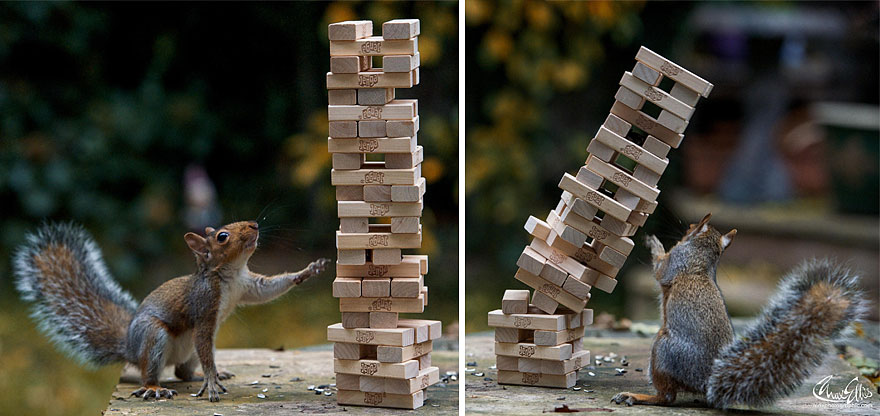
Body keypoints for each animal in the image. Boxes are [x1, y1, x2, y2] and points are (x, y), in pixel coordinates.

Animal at [13, 220, 330, 402]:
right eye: (222, 237)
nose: (254, 225)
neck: (229, 274)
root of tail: (130, 349)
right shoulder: (204, 307)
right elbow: (204, 330)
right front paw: (211, 381)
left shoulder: (247, 286)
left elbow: (270, 288)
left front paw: (307, 271)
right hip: (154, 337)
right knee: (151, 372)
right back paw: (156, 388)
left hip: (190, 351)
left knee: (182, 370)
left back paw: (200, 375)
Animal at [612, 213, 867, 409]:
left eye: (692, 227)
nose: (686, 228)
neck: (703, 257)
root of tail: (707, 382)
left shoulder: (674, 263)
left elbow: (660, 267)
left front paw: (654, 243)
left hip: (663, 349)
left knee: (666, 397)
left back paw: (636, 396)